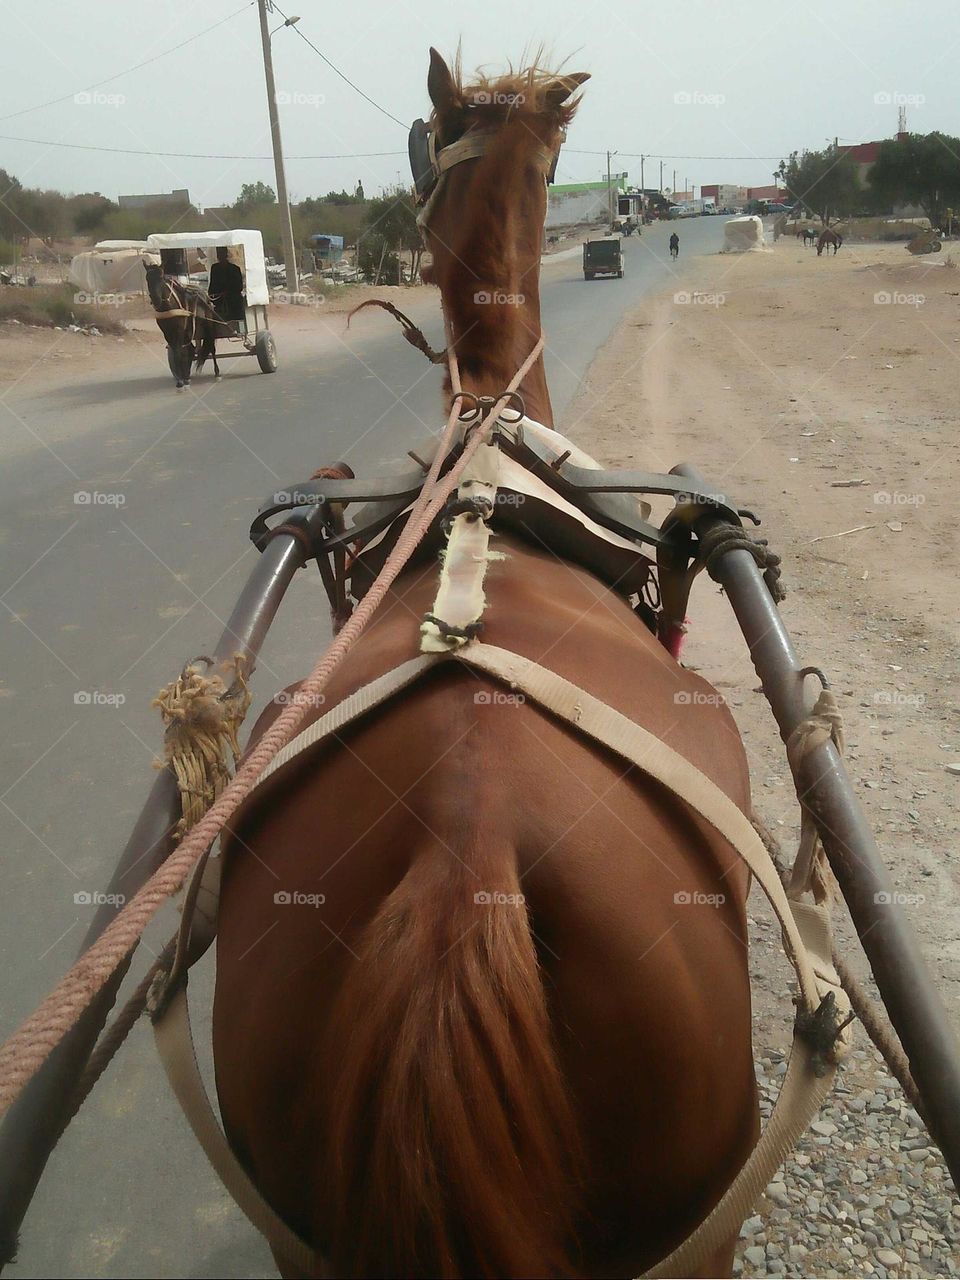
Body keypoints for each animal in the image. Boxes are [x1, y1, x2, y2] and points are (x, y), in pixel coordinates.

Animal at [144, 256, 222, 384]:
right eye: (147, 279)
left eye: (161, 278)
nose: (156, 300)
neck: (169, 307)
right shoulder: (167, 333)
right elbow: (178, 353)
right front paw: (182, 378)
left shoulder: (179, 330)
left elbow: (179, 352)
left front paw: (182, 380)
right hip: (189, 331)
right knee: (190, 350)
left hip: (208, 325)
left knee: (211, 347)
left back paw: (217, 373)